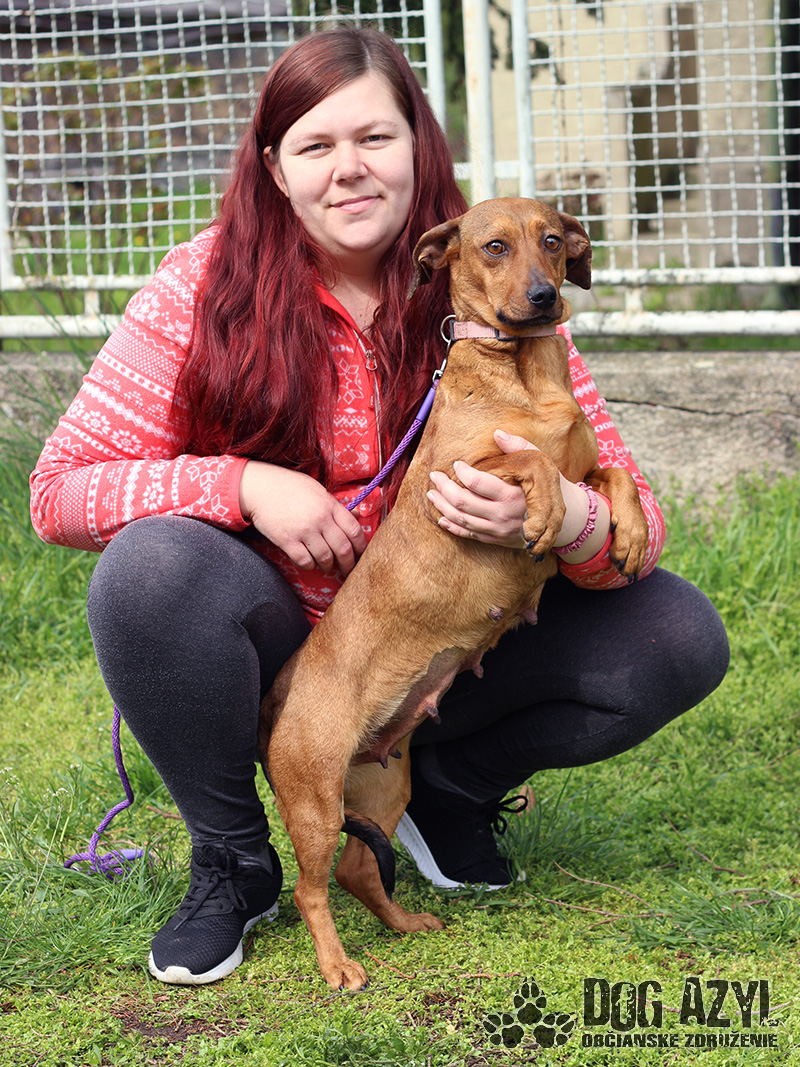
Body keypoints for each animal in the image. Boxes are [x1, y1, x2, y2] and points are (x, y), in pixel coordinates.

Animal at [258, 198, 648, 991]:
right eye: (493, 247)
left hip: (381, 786)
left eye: (553, 240)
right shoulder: (458, 475)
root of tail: (286, 689)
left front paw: (620, 533)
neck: (520, 369)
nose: (544, 298)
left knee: (357, 871)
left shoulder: (582, 470)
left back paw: (404, 924)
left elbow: (610, 477)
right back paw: (338, 967)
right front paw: (539, 511)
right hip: (314, 801)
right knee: (311, 888)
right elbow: (530, 462)